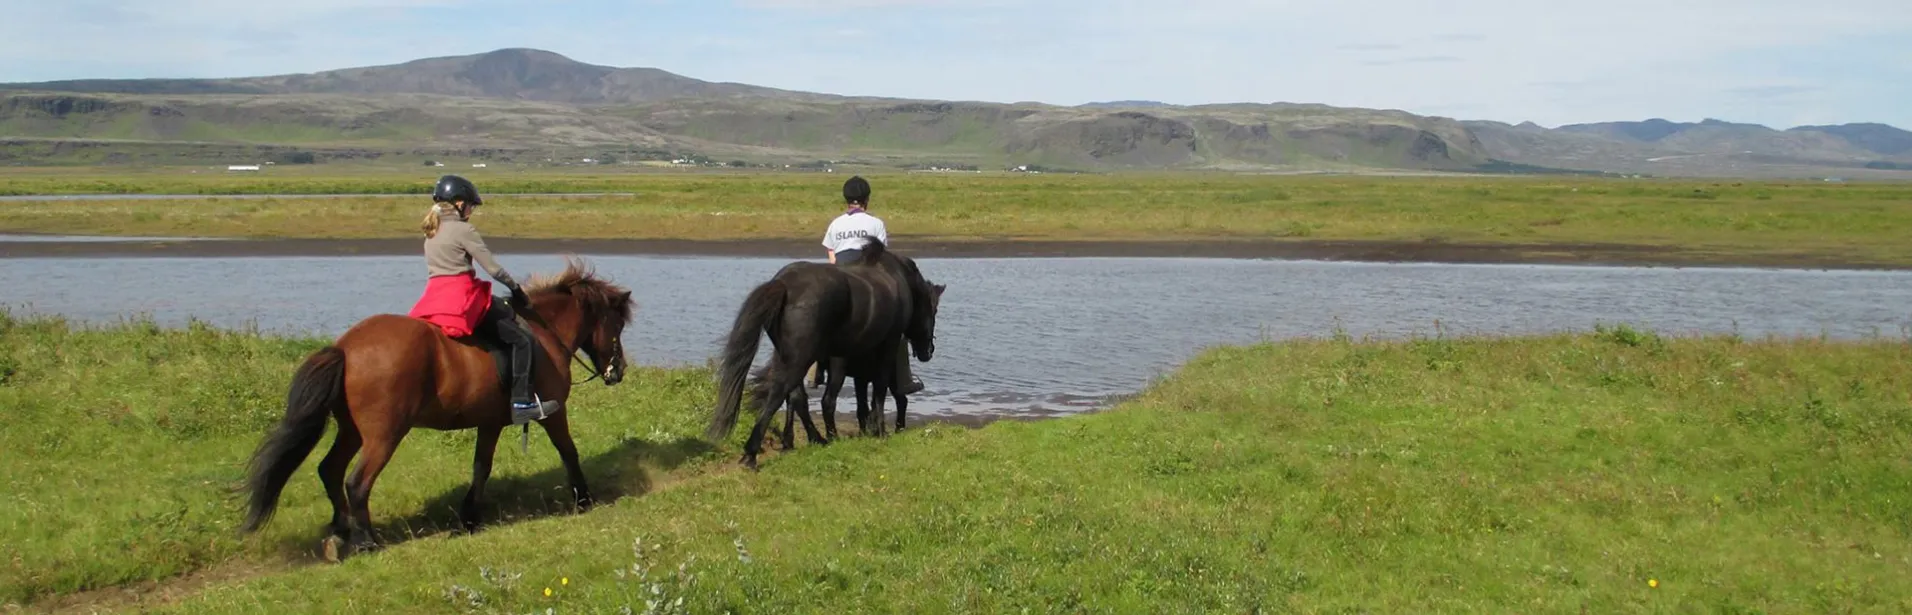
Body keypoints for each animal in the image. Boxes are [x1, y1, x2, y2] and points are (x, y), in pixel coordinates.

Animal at [237, 255, 634, 561]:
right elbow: (568, 450)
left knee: (330, 470)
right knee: (357, 482)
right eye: (616, 323)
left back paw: (341, 531)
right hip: (384, 435)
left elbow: (481, 467)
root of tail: (346, 348)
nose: (618, 370)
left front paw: (469, 519)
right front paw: (583, 500)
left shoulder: (490, 422)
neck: (542, 333)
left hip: (351, 430)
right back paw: (366, 542)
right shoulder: (553, 412)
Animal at [707, 237, 944, 467]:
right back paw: (753, 452)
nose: (928, 351)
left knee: (797, 397)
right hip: (802, 360)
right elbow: (878, 389)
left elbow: (862, 399)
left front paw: (868, 429)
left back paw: (816, 438)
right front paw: (880, 430)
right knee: (788, 395)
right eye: (934, 310)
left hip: (793, 358)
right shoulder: (888, 346)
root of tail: (784, 283)